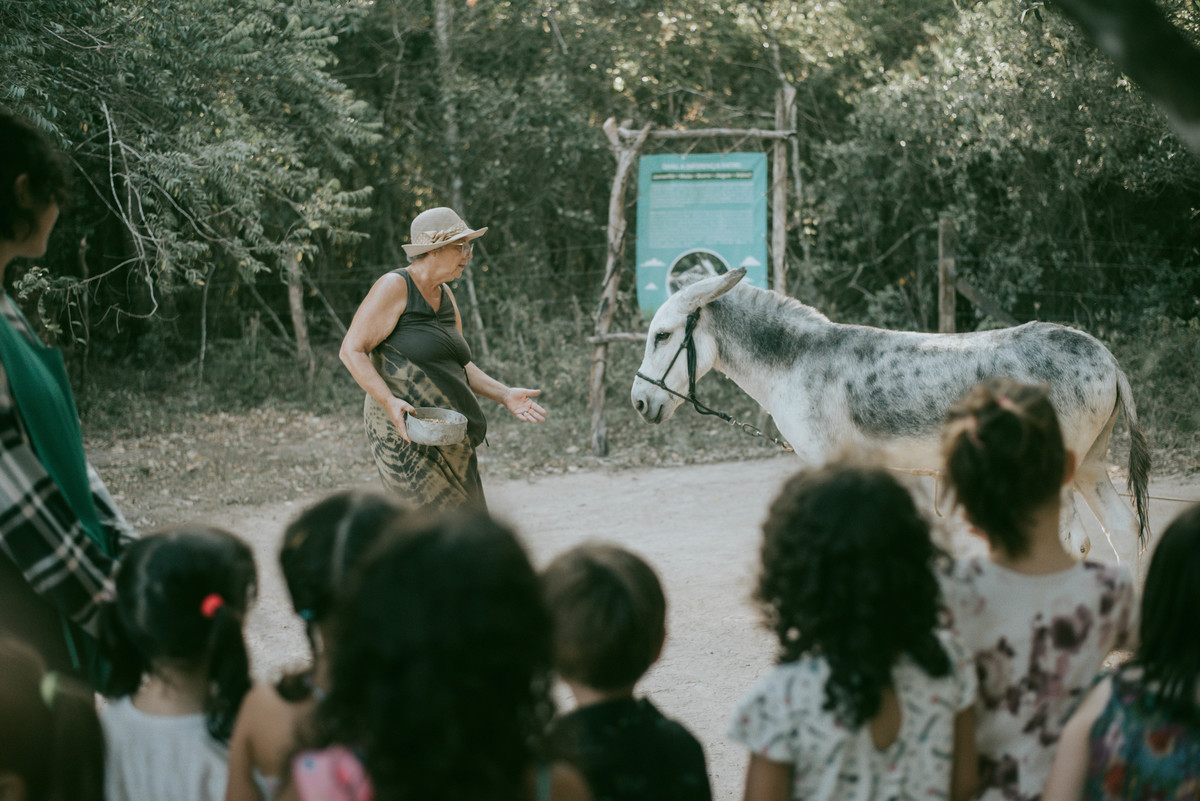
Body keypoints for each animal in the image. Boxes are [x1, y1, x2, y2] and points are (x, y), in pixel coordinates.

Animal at [630, 267, 1151, 565]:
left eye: (662, 335)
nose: (638, 402)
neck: (794, 358)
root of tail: (1106, 356)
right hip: (1090, 464)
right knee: (1123, 532)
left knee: (1074, 542)